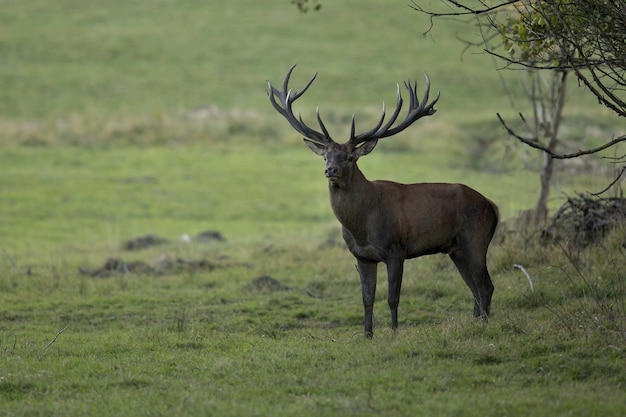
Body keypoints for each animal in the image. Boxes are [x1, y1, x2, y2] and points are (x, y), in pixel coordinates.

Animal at [264, 66, 498, 338]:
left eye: (350, 157)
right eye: (325, 157)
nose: (330, 170)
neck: (363, 225)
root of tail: (493, 206)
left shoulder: (396, 249)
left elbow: (392, 297)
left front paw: (395, 333)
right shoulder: (362, 257)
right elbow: (367, 298)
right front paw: (367, 335)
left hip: (475, 239)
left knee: (485, 286)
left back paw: (485, 327)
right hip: (456, 249)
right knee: (474, 289)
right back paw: (476, 324)